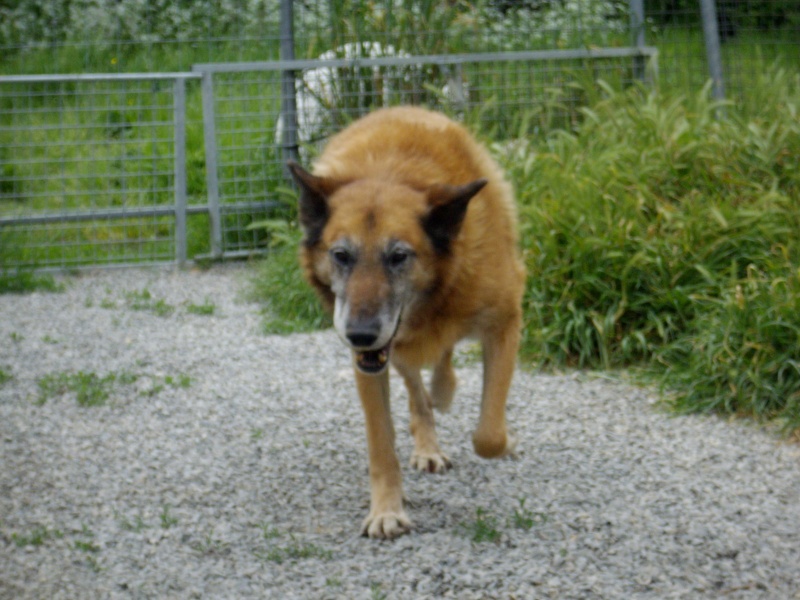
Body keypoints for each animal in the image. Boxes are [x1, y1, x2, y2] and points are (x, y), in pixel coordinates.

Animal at [288, 104, 524, 540]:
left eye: (398, 256)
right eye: (341, 255)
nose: (360, 334)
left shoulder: (505, 322)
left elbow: (489, 433)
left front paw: (503, 439)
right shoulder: (370, 362)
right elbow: (382, 445)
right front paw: (386, 511)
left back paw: (444, 390)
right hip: (393, 352)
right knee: (418, 387)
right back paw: (432, 426)